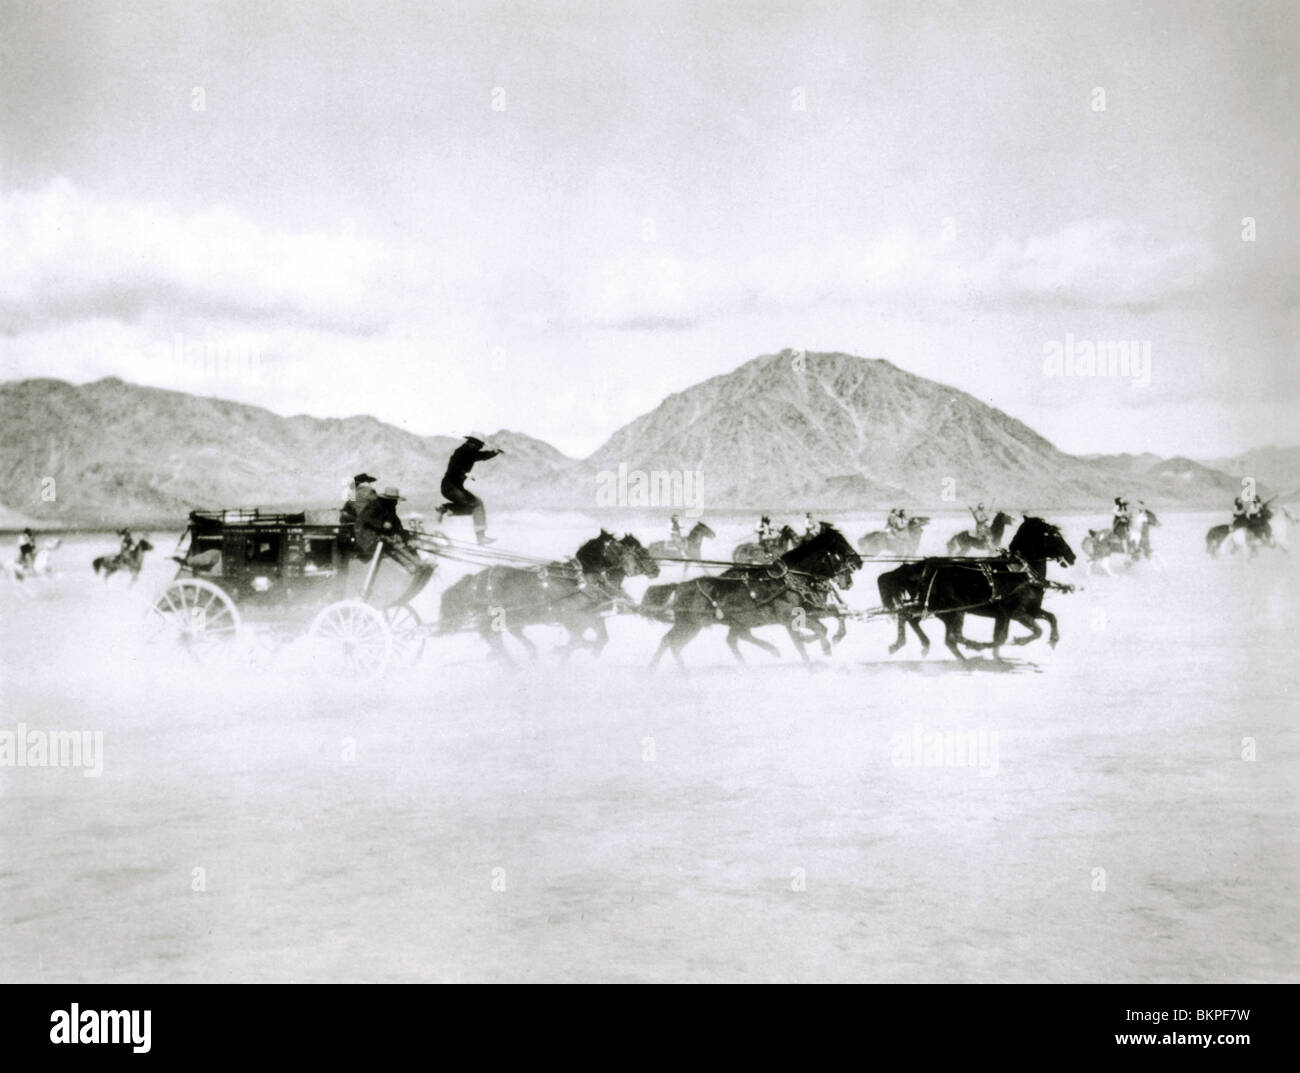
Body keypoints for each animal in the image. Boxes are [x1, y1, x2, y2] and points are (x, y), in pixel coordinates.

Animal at [439, 530, 660, 658]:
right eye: (635, 550)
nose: (656, 569)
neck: (580, 581)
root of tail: (475, 580)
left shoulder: (592, 617)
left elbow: (599, 640)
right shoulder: (572, 619)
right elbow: (580, 641)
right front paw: (564, 652)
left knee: (511, 635)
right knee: (496, 641)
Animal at [642, 520, 863, 671]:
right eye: (840, 546)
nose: (859, 562)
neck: (789, 580)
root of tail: (680, 586)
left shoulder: (810, 611)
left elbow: (832, 618)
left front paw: (831, 641)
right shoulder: (789, 618)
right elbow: (806, 640)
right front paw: (816, 655)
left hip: (722, 623)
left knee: (727, 640)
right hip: (690, 624)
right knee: (670, 642)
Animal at [873, 515, 1076, 658]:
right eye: (1053, 534)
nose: (1072, 556)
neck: (1020, 572)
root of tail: (923, 568)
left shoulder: (1027, 611)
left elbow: (1051, 618)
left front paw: (1053, 640)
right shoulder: (1016, 613)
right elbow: (1029, 632)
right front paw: (1017, 642)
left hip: (933, 607)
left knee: (910, 618)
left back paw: (916, 645)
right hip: (954, 610)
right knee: (952, 637)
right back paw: (973, 648)